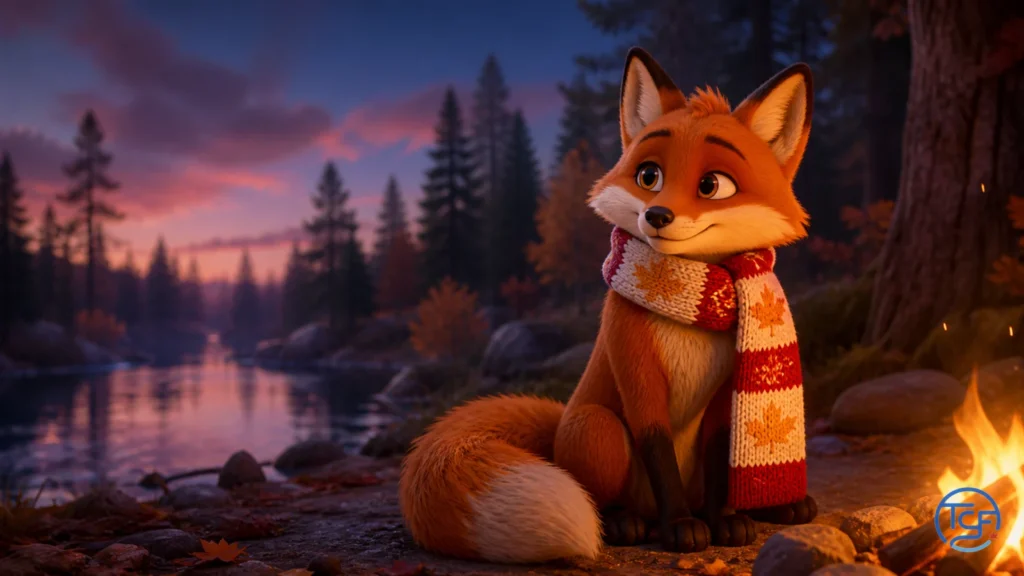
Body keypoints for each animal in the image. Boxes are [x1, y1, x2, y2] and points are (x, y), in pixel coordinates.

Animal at [399, 47, 818, 564]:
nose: (657, 215)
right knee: (603, 496)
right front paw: (681, 527)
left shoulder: (727, 394)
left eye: (712, 185)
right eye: (649, 175)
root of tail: (559, 427)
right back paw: (629, 523)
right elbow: (657, 449)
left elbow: (724, 457)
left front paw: (725, 521)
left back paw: (780, 506)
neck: (691, 303)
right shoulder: (633, 362)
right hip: (598, 429)